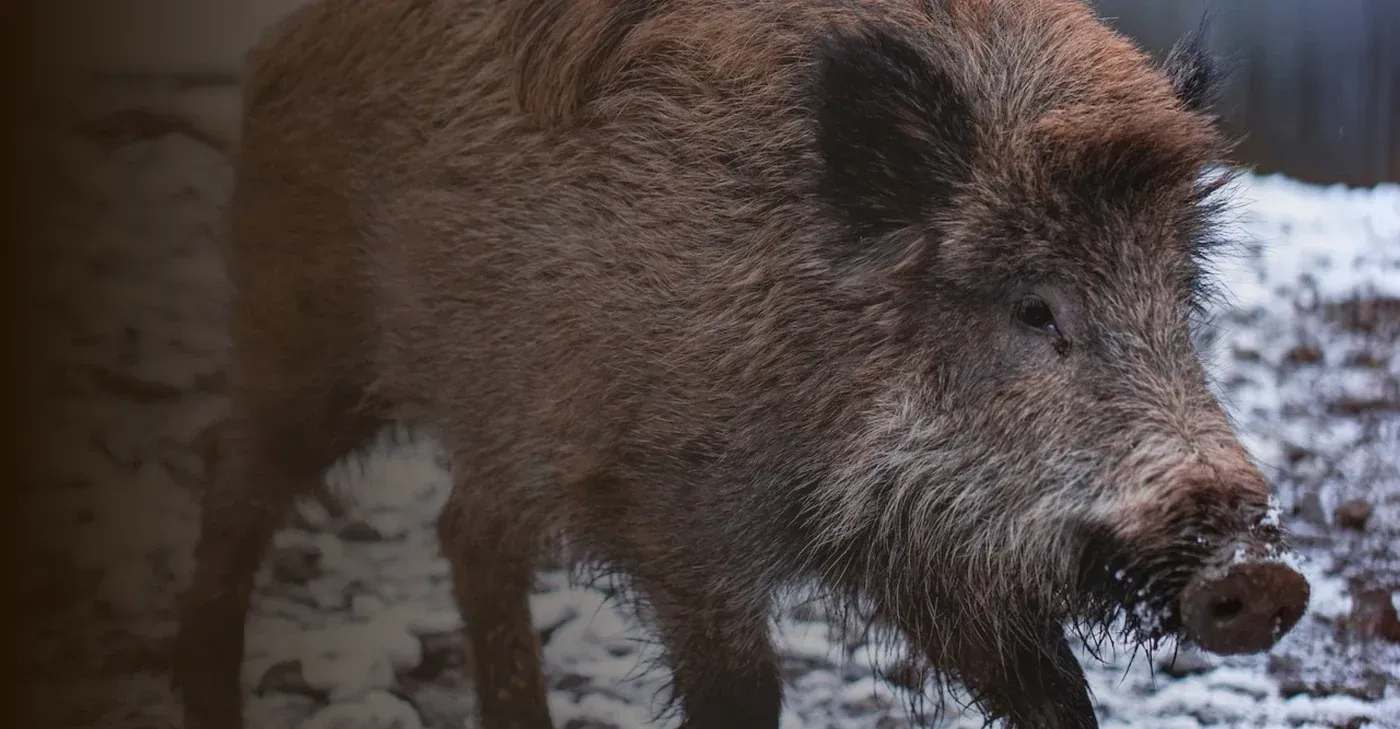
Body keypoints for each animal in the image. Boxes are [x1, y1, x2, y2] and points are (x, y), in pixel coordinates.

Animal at [168, 0, 1312, 727]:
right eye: (1034, 308)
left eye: (1177, 297)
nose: (1260, 576)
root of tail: (279, 46)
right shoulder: (672, 508)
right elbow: (740, 695)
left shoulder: (934, 544)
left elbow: (1054, 694)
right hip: (303, 334)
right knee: (235, 470)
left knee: (466, 530)